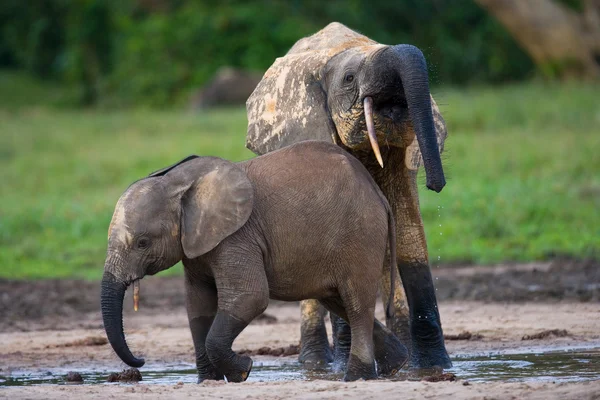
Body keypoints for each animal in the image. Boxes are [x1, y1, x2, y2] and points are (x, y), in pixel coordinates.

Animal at [101, 140, 408, 382]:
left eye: (142, 243)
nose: (141, 361)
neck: (176, 182)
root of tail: (377, 193)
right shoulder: (196, 246)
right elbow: (198, 308)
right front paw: (208, 382)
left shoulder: (236, 237)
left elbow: (250, 297)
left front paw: (244, 370)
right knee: (339, 301)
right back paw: (395, 366)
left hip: (360, 234)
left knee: (356, 303)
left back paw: (358, 377)